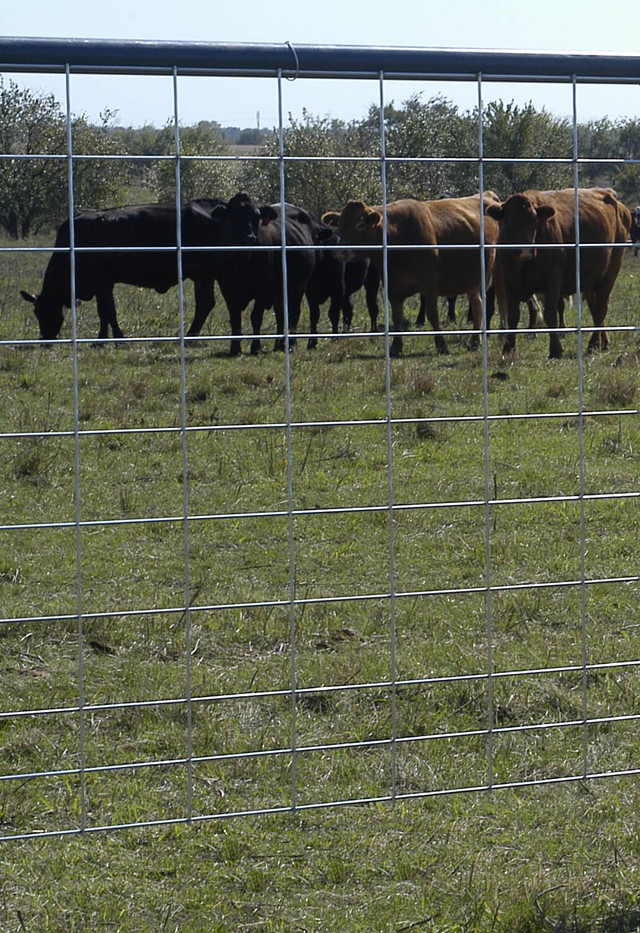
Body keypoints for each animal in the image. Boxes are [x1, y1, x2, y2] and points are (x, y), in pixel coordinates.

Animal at [20, 199, 226, 341]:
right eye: (36, 313)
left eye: (45, 311)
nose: (45, 339)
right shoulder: (100, 286)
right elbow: (103, 313)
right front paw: (102, 338)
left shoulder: (102, 282)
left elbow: (108, 311)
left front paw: (117, 337)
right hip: (202, 275)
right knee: (205, 303)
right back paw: (191, 335)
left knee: (205, 303)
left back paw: (190, 335)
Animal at [211, 192, 316, 355]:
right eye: (233, 216)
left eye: (257, 217)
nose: (250, 238)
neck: (242, 261)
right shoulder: (227, 288)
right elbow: (235, 318)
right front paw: (235, 349)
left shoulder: (263, 288)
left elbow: (256, 317)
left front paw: (256, 347)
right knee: (281, 313)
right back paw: (279, 345)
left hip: (299, 286)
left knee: (294, 313)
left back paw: (291, 344)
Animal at [322, 194, 498, 357]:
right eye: (340, 225)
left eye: (360, 224)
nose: (341, 251)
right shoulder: (392, 286)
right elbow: (397, 316)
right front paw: (395, 346)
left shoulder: (430, 284)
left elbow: (432, 314)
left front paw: (441, 345)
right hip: (472, 282)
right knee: (477, 305)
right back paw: (475, 341)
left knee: (478, 306)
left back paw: (475, 341)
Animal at [486, 187, 631, 358]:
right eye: (508, 220)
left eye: (535, 220)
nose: (525, 251)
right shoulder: (508, 279)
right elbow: (513, 315)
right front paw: (508, 348)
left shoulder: (553, 279)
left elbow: (550, 314)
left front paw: (555, 349)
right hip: (590, 281)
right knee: (596, 309)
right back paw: (603, 343)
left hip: (611, 271)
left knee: (601, 308)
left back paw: (593, 345)